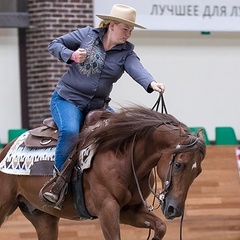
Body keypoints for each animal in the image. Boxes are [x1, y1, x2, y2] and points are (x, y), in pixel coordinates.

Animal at [0, 107, 206, 240]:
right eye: (178, 164)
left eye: (198, 172)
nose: (174, 210)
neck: (124, 157)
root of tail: (6, 149)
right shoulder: (107, 209)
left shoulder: (128, 211)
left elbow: (160, 226)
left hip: (43, 218)